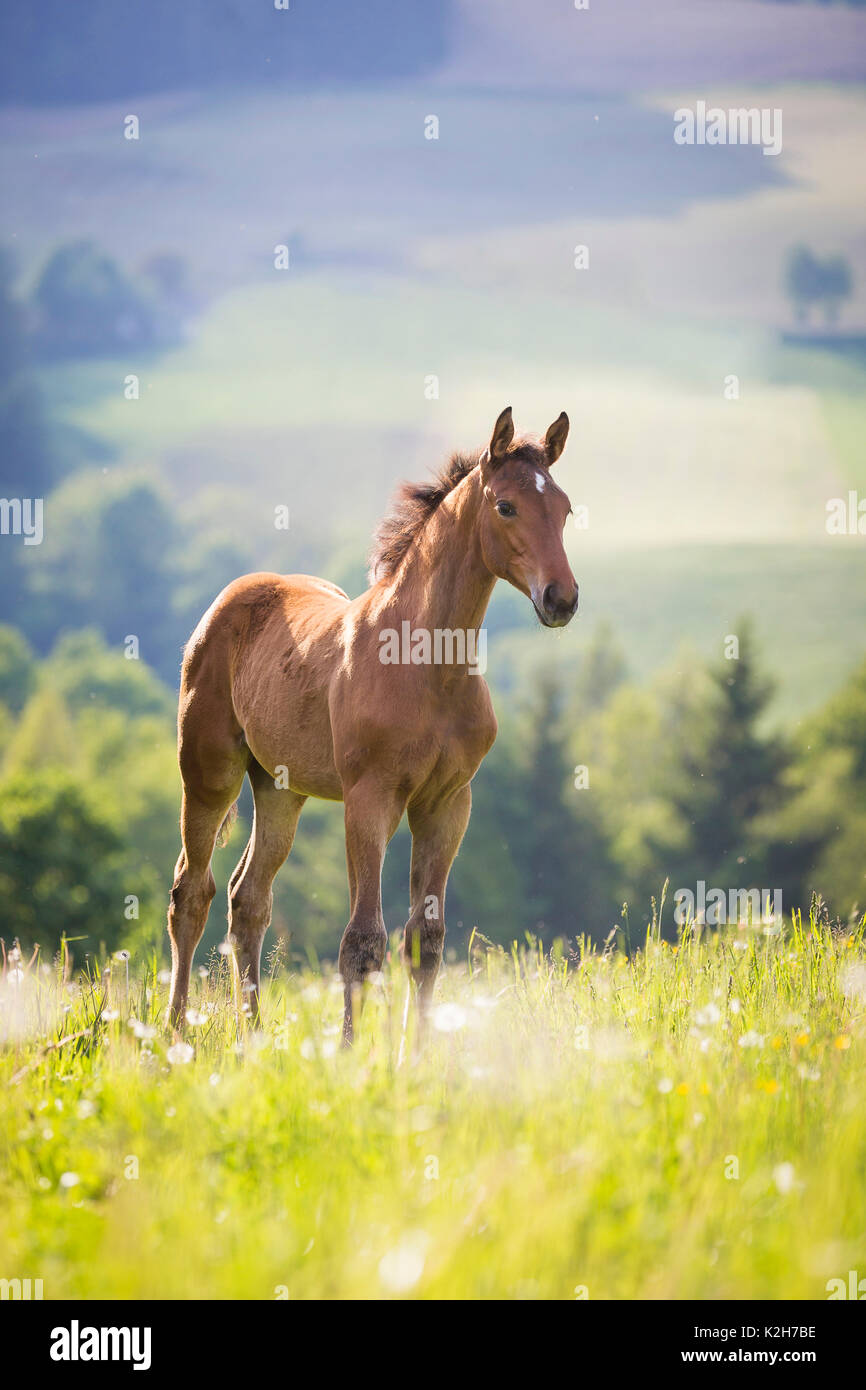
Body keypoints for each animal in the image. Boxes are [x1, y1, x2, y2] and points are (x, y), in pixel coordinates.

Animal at [166, 405, 578, 1039]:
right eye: (507, 506)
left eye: (565, 509)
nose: (562, 598)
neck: (430, 665)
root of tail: (226, 600)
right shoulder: (370, 797)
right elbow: (362, 939)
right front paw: (349, 1050)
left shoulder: (448, 804)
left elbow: (425, 938)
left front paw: (420, 1052)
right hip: (209, 771)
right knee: (192, 890)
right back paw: (172, 1033)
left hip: (280, 789)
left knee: (248, 899)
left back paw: (251, 1037)